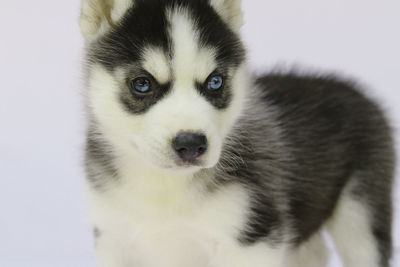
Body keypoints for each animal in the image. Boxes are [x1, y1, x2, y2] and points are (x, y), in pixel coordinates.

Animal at [79, 0, 396, 267]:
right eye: (142, 84)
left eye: (215, 81)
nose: (191, 144)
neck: (164, 190)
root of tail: (351, 87)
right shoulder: (113, 238)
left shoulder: (254, 240)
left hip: (360, 218)